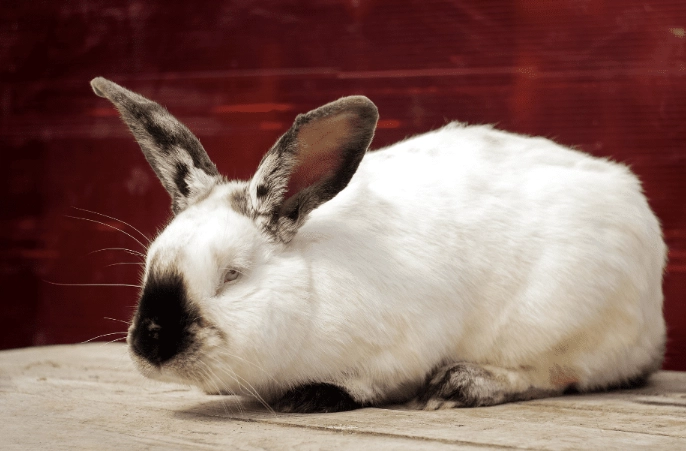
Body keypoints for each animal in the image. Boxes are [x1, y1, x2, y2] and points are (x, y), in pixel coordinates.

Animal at [90, 77, 666, 413]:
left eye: (232, 275)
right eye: (151, 264)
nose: (151, 344)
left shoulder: (400, 348)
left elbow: (373, 383)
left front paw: (314, 395)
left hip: (562, 325)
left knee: (562, 375)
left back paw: (463, 385)